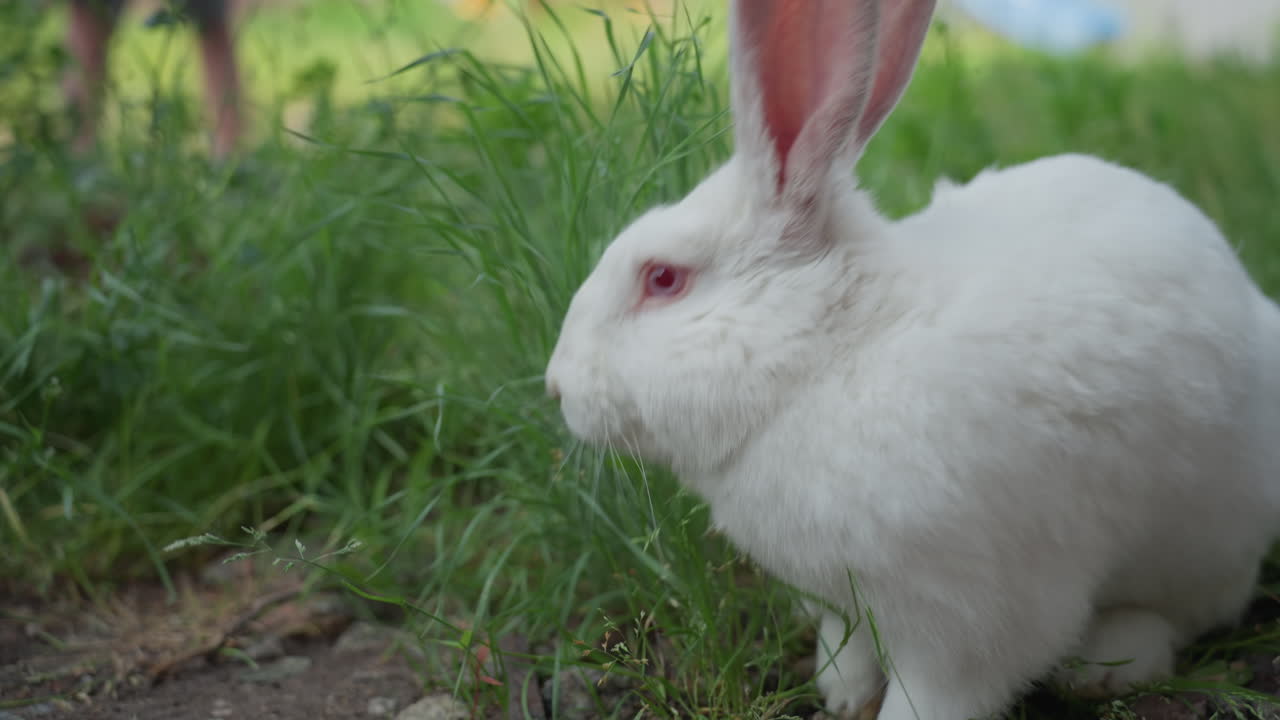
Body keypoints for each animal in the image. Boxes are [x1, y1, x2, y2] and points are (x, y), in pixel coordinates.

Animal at [543, 0, 1280, 717]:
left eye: (663, 278)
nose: (555, 386)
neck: (828, 355)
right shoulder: (841, 600)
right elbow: (845, 647)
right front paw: (841, 695)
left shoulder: (969, 619)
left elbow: (935, 694)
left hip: (1204, 535)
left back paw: (1105, 665)